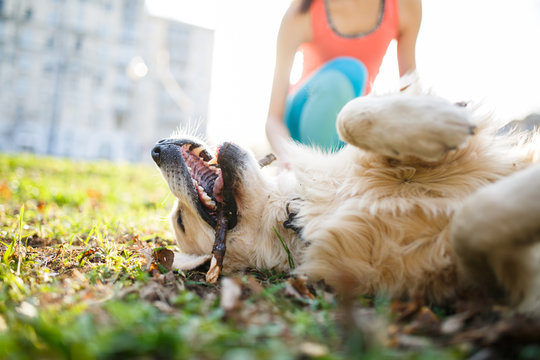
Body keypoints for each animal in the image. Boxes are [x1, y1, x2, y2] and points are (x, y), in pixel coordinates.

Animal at [149, 94, 540, 314]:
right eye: (181, 221)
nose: (157, 148)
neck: (297, 213)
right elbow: (471, 219)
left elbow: (347, 114)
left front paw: (440, 118)